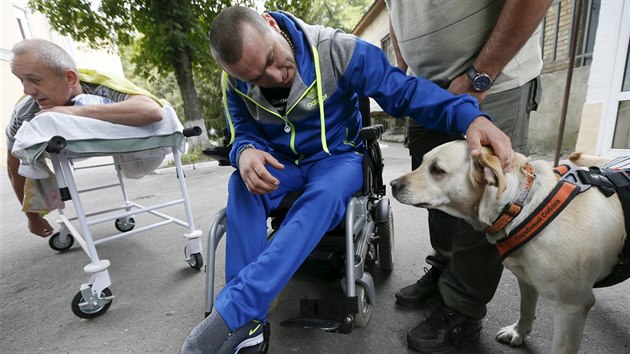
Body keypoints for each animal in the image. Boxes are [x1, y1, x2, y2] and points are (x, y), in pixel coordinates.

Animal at [390, 140, 628, 354]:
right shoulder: (526, 279)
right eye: (422, 162)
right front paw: (519, 333)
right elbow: (526, 309)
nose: (392, 185)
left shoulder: (572, 307)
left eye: (437, 170)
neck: (523, 207)